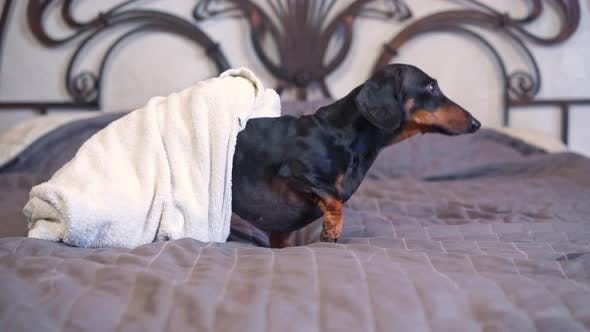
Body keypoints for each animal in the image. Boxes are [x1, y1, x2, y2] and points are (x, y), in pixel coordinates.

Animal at [231, 63, 480, 248]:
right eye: (430, 86)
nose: (476, 123)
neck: (341, 132)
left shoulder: (280, 231)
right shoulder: (297, 172)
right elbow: (334, 199)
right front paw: (331, 232)